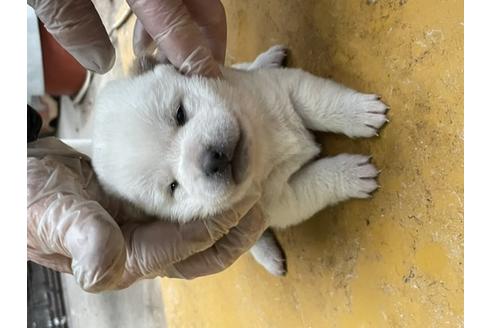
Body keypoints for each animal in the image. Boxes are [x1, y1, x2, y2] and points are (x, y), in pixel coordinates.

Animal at [90, 46, 386, 276]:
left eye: (180, 114)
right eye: (173, 187)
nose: (211, 160)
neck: (263, 145)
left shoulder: (285, 87)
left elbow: (323, 102)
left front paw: (360, 112)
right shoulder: (281, 202)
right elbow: (320, 182)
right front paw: (353, 175)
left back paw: (266, 59)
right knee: (252, 244)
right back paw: (269, 257)